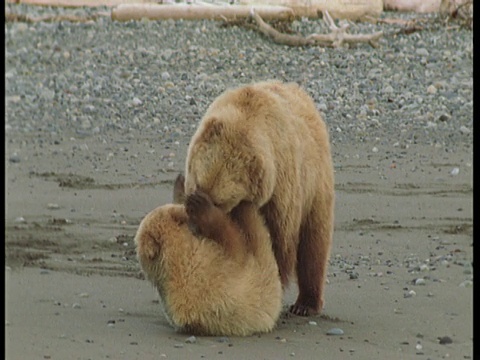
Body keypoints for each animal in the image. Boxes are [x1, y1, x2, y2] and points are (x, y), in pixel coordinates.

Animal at [184, 81, 334, 316]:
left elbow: (277, 240)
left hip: (315, 186)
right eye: (198, 184)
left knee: (314, 244)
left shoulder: (280, 186)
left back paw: (306, 304)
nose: (196, 227)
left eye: (218, 202)